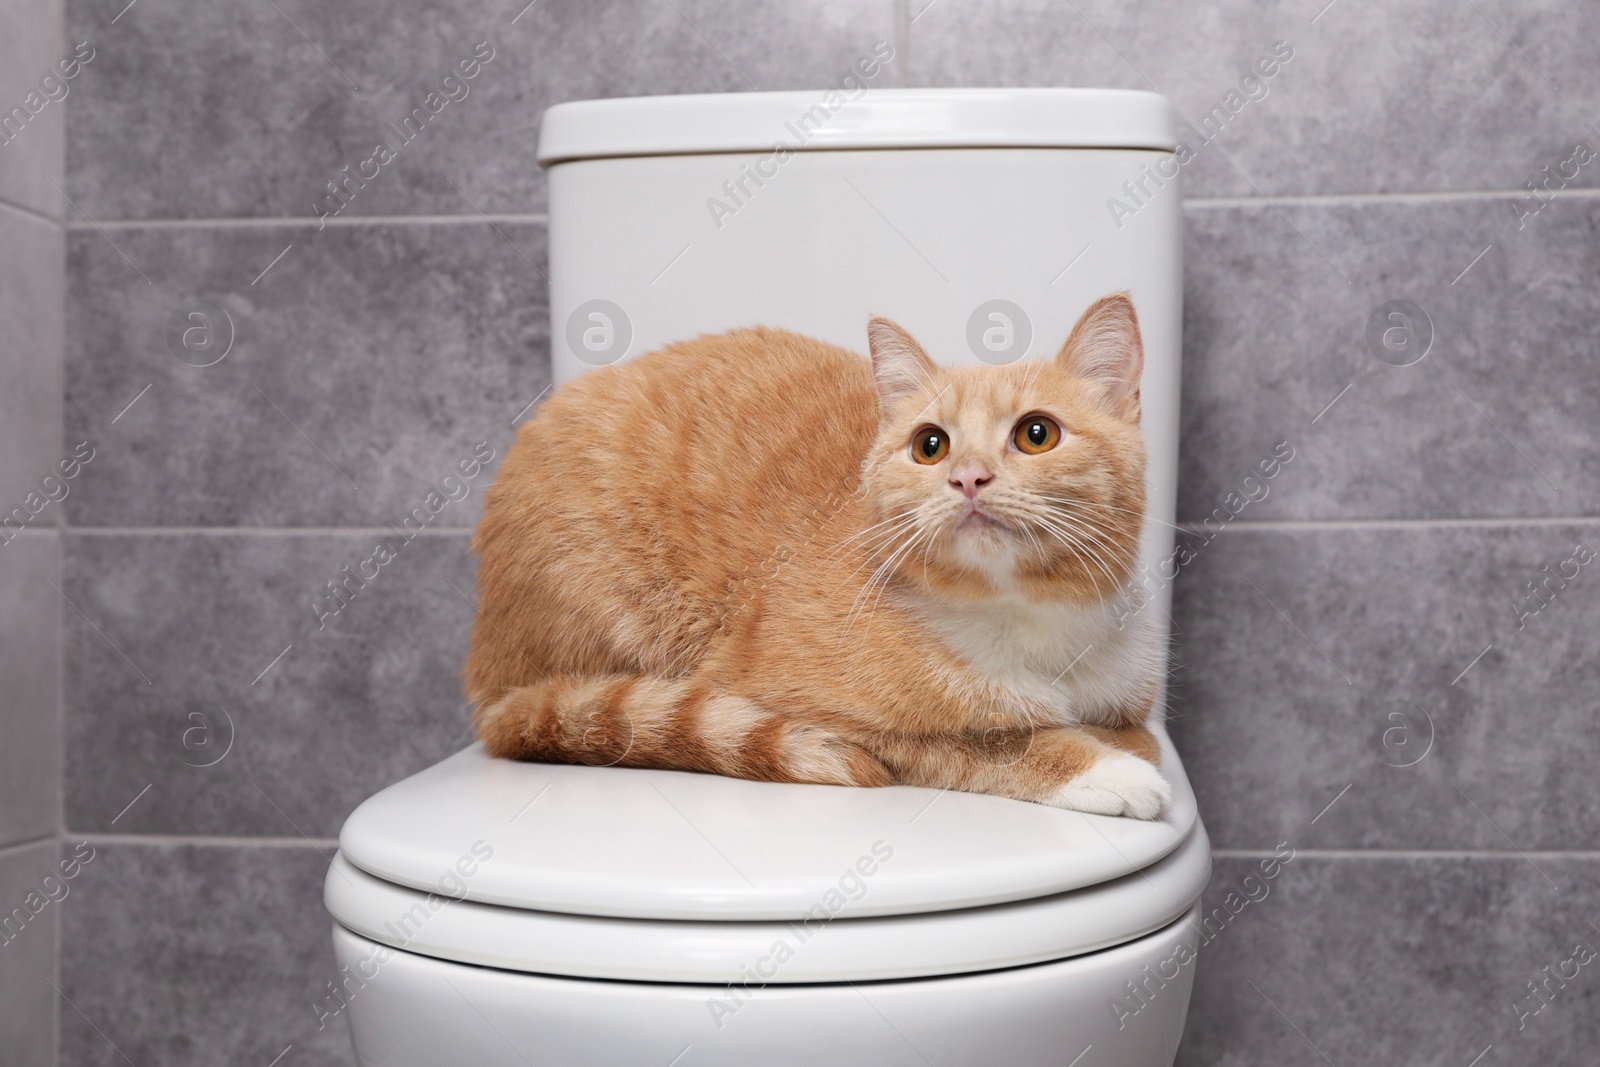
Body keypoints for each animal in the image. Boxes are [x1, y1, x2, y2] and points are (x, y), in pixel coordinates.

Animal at [467, 292, 1171, 819]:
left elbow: (1138, 734)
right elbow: (986, 743)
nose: (967, 478)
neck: (1028, 621)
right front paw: (1106, 769)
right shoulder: (813, 712)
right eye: (931, 445)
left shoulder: (1131, 693)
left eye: (1036, 434)